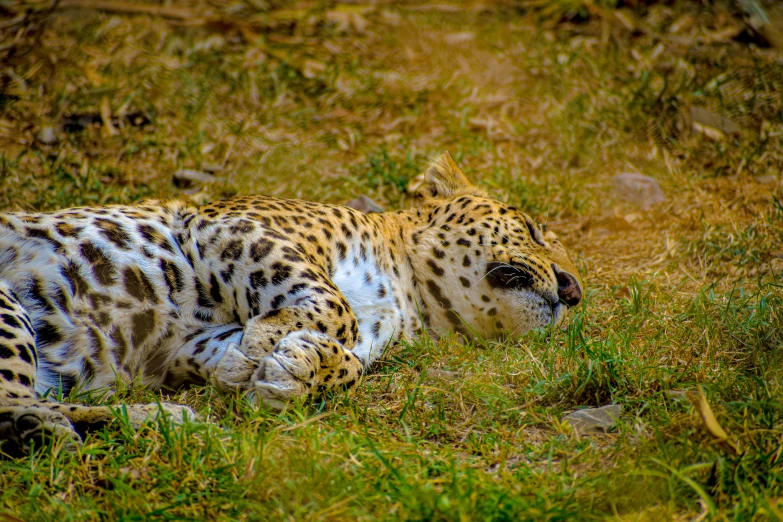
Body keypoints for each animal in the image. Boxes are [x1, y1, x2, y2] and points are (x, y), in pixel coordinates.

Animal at [0, 152, 580, 452]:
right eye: (533, 230)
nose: (574, 289)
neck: (411, 296)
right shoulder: (228, 225)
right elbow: (332, 303)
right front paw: (269, 347)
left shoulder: (185, 347)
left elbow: (348, 364)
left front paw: (289, 370)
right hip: (8, 308)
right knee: (12, 401)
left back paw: (158, 419)